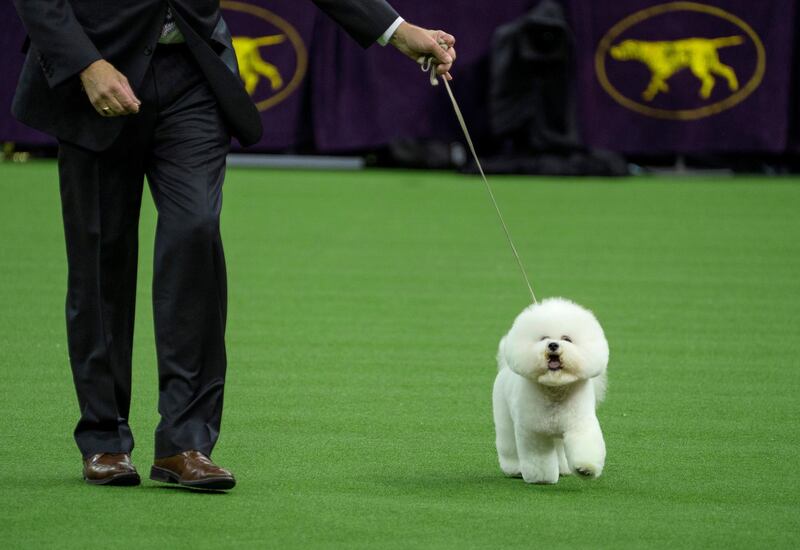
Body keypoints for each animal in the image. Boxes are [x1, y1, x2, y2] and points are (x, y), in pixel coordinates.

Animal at [490, 300, 608, 486]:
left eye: (567, 339)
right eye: (543, 338)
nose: (553, 345)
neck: (555, 389)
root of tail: (505, 366)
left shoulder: (579, 425)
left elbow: (584, 446)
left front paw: (585, 468)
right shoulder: (534, 431)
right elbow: (539, 458)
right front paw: (541, 478)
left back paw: (564, 468)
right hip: (504, 418)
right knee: (508, 444)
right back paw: (515, 469)